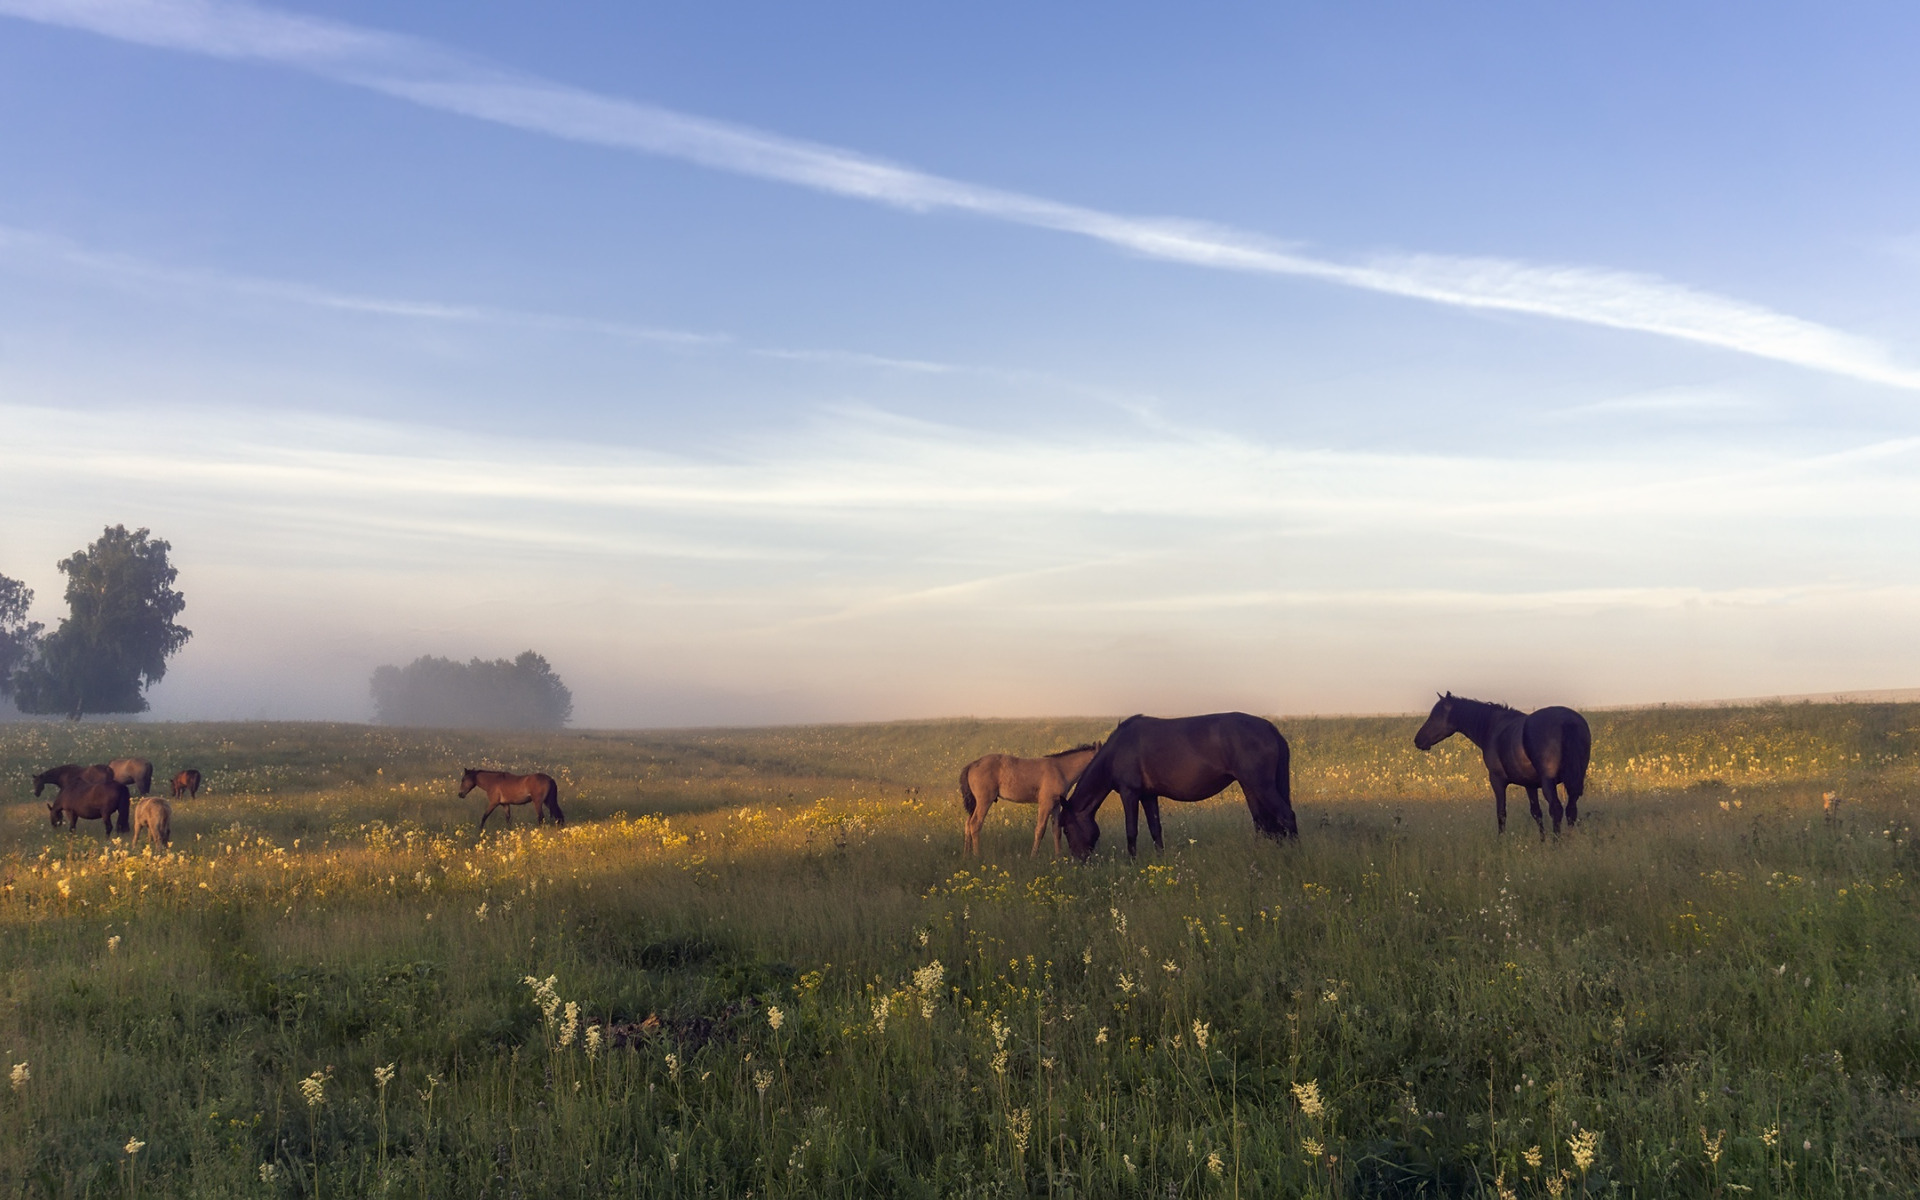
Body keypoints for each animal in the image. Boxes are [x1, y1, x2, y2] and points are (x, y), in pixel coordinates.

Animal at [956, 744, 1098, 856]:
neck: (1061, 769)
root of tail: (972, 765)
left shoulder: (1056, 805)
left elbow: (1056, 830)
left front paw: (1058, 857)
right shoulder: (1045, 803)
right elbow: (1040, 829)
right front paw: (1033, 856)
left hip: (975, 803)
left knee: (967, 823)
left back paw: (966, 855)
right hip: (984, 801)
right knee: (975, 823)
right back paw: (977, 856)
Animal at [1059, 710, 1297, 860]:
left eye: (1067, 830)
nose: (1079, 860)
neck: (1117, 751)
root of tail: (1270, 728)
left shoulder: (1129, 793)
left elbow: (1131, 831)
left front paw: (1132, 864)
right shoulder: (1148, 796)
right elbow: (1155, 829)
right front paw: (1160, 861)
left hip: (1262, 785)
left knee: (1286, 816)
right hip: (1250, 786)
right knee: (1263, 822)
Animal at [1413, 687, 1589, 837]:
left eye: (1435, 716)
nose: (1418, 740)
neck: (1493, 727)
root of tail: (1567, 721)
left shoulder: (1497, 780)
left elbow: (1501, 813)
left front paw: (1501, 841)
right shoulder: (1530, 784)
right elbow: (1536, 813)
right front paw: (1542, 841)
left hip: (1549, 782)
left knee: (1556, 809)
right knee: (1571, 810)